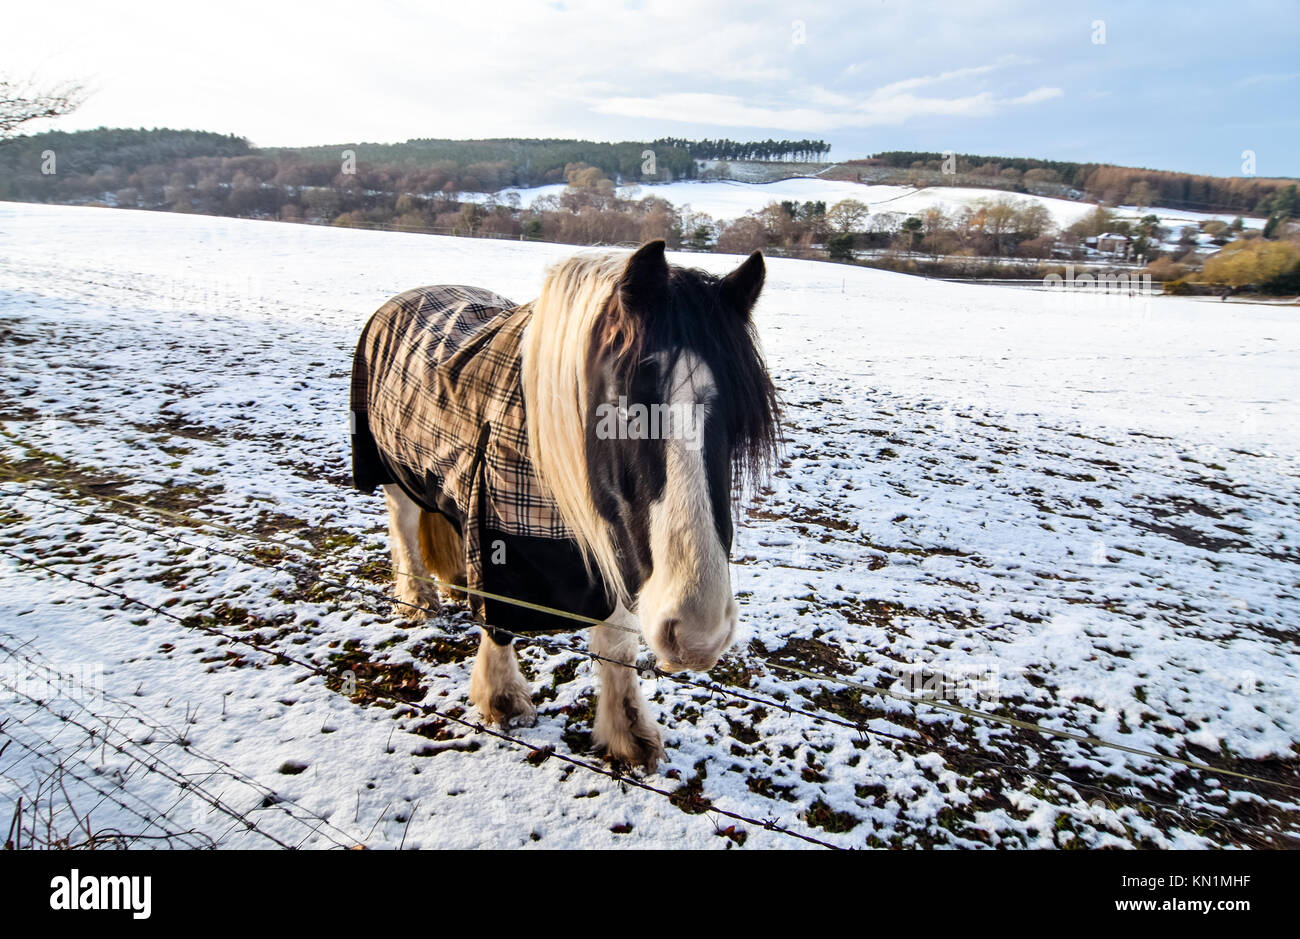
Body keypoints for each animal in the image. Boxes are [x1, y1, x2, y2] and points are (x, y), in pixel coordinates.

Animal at [348, 239, 780, 769]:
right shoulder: (502, 540)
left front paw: (627, 732)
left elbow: (617, 642)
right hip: (391, 468)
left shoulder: (615, 542)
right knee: (404, 524)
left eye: (739, 420)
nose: (699, 637)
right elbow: (500, 617)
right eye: (623, 411)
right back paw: (418, 596)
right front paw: (503, 698)